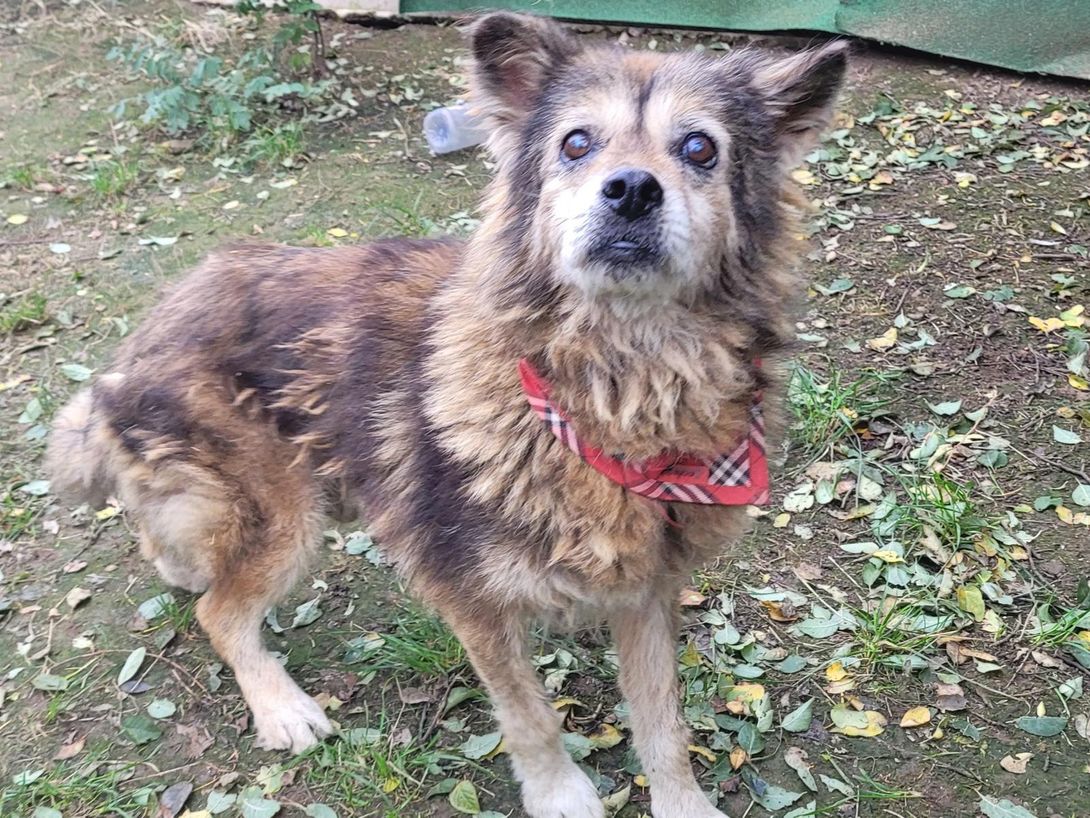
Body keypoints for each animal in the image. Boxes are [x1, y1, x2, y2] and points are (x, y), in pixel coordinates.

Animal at [46, 14, 845, 818]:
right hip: (285, 514)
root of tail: (136, 342)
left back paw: (182, 565)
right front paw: (560, 795)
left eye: (700, 148)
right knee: (220, 611)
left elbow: (663, 722)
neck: (614, 391)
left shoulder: (647, 591)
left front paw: (683, 803)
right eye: (576, 143)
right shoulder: (474, 598)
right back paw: (280, 705)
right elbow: (530, 716)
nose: (629, 190)